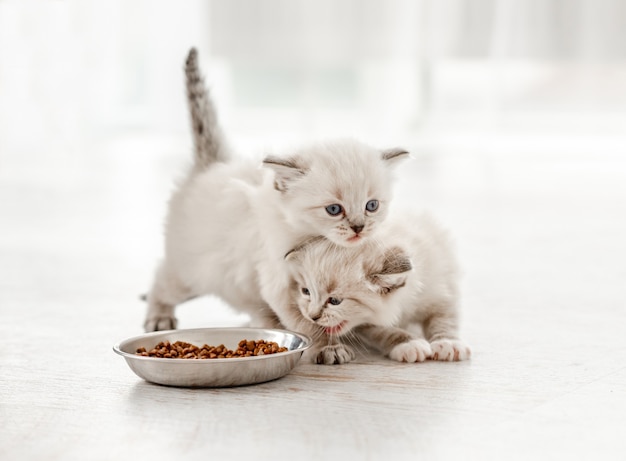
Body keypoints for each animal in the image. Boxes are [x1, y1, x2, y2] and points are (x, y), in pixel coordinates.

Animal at [140, 48, 410, 330]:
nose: (359, 228)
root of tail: (213, 164)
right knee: (162, 280)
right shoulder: (278, 282)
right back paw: (159, 316)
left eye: (372, 206)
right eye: (334, 209)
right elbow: (302, 322)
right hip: (190, 269)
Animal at [282, 210, 468, 364]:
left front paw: (448, 343)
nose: (312, 317)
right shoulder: (366, 324)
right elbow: (383, 331)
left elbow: (445, 320)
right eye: (306, 291)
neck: (405, 305)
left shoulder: (441, 291)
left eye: (334, 301)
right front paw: (409, 343)